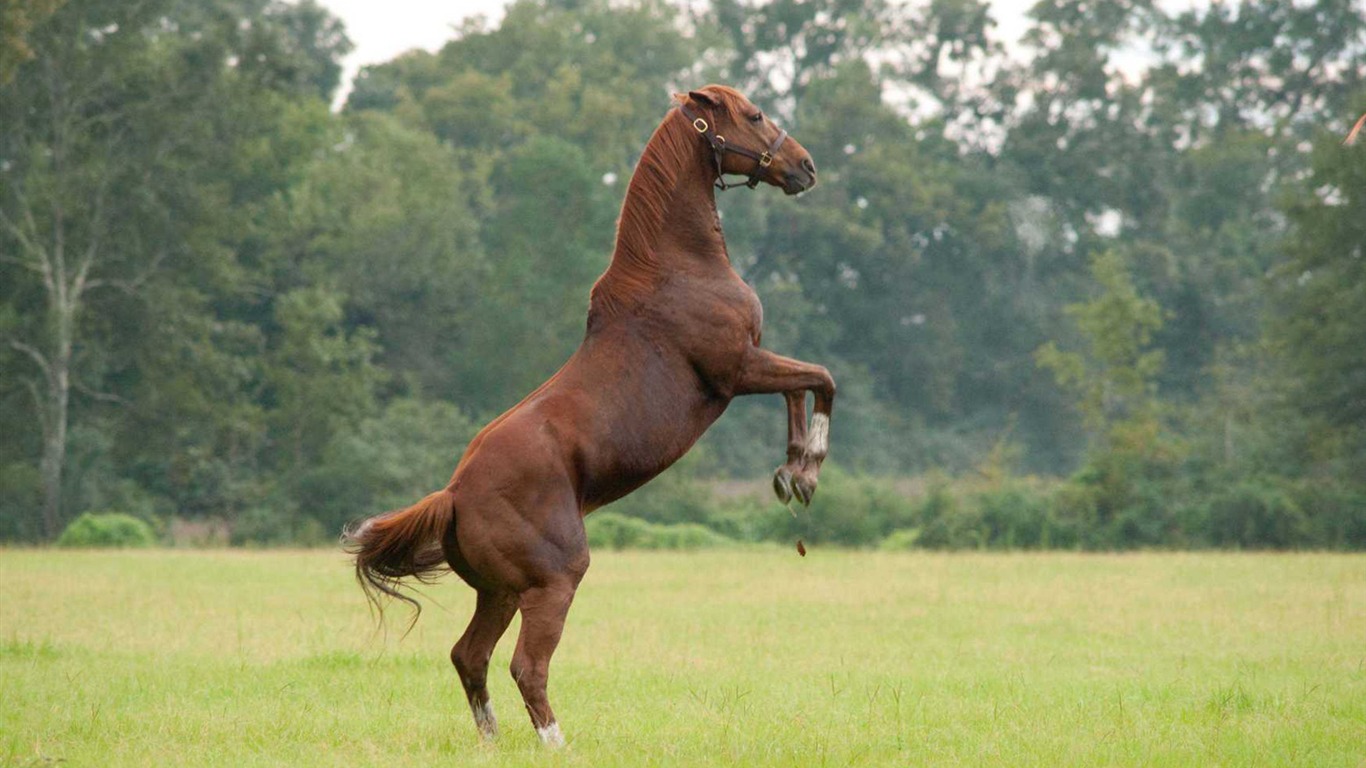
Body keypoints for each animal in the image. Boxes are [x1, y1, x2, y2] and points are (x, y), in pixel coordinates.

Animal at [344, 85, 830, 748]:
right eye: (753, 115)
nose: (805, 166)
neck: (678, 268)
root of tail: (454, 494)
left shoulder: (752, 367)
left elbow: (800, 392)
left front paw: (792, 475)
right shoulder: (738, 370)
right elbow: (820, 380)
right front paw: (808, 467)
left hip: (500, 591)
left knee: (471, 657)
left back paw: (493, 744)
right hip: (553, 582)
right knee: (526, 666)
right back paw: (556, 745)